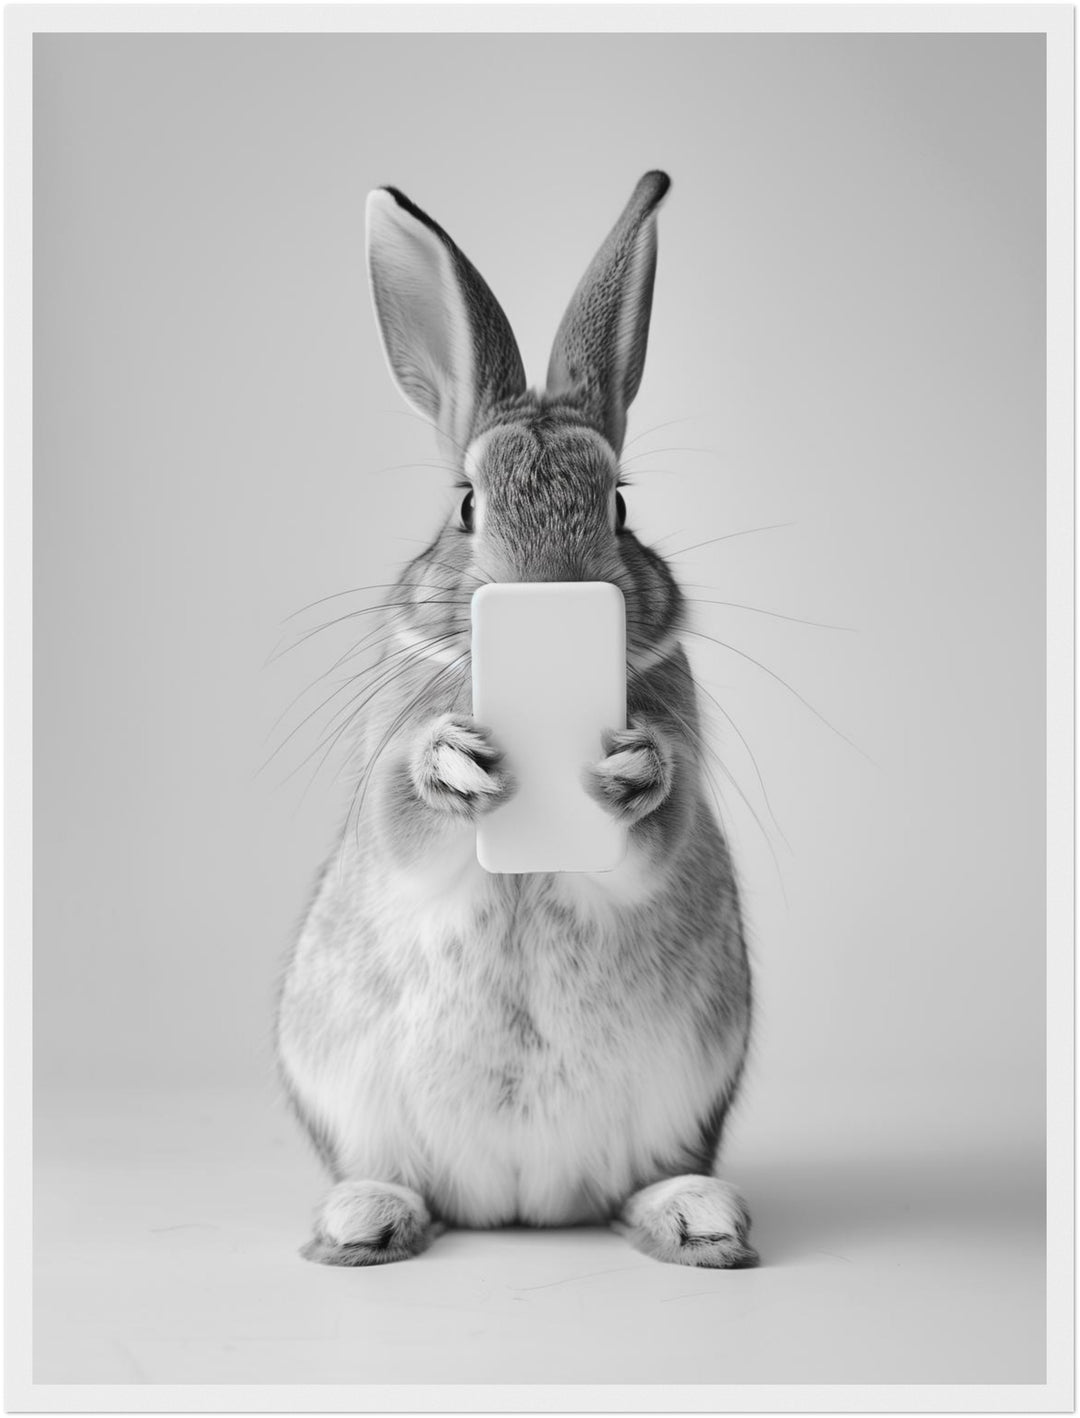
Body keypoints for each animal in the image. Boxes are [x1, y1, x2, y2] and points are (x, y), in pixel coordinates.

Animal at [275, 170, 757, 1269]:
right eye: (465, 504)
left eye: (618, 504)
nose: (549, 587)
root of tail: (521, 1207)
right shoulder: (388, 774)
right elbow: (403, 820)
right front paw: (452, 763)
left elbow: (657, 833)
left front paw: (633, 769)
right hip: (346, 1091)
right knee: (397, 1177)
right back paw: (365, 1220)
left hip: (687, 1094)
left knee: (639, 1184)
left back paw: (695, 1216)